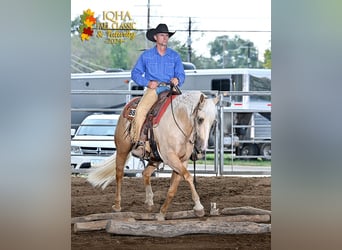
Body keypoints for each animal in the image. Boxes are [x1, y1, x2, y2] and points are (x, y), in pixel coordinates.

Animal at [87, 91, 218, 220]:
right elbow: (188, 177)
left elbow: (173, 187)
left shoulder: (182, 160)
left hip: (154, 158)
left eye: (213, 123)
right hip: (122, 149)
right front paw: (199, 207)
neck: (179, 122)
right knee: (119, 174)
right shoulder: (170, 157)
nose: (202, 148)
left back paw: (149, 202)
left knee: (145, 173)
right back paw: (117, 205)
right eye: (200, 119)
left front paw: (162, 213)